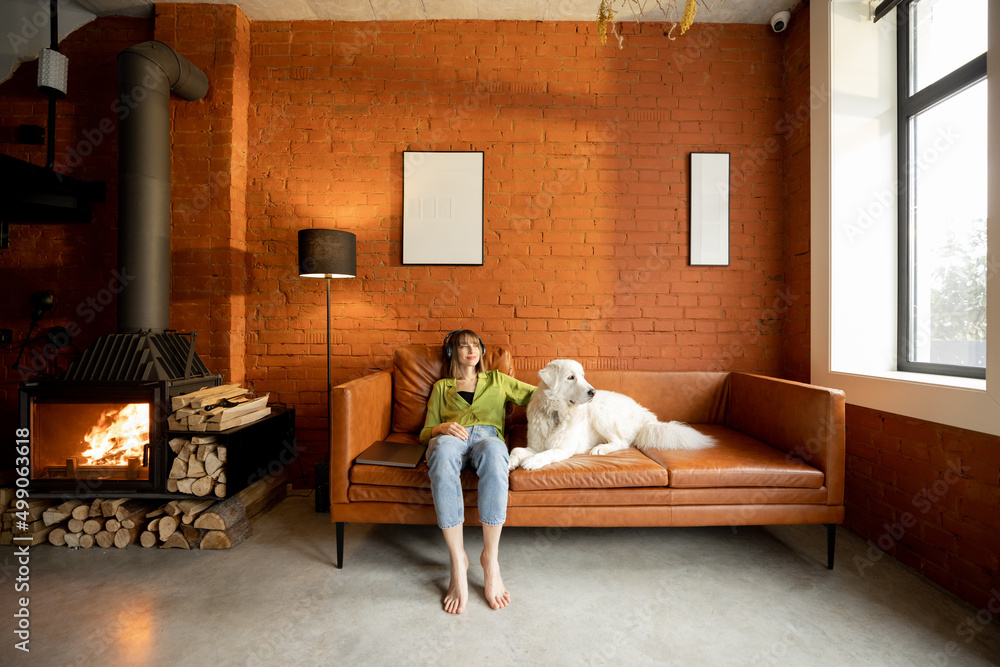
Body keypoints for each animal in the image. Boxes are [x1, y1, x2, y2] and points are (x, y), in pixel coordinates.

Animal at [512, 358, 716, 472]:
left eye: (583, 375)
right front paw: (511, 463)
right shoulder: (535, 446)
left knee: (622, 442)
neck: (557, 412)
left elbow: (548, 453)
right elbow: (516, 450)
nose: (593, 392)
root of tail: (644, 415)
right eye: (571, 377)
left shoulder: (563, 448)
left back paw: (601, 448)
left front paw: (532, 462)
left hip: (601, 413)